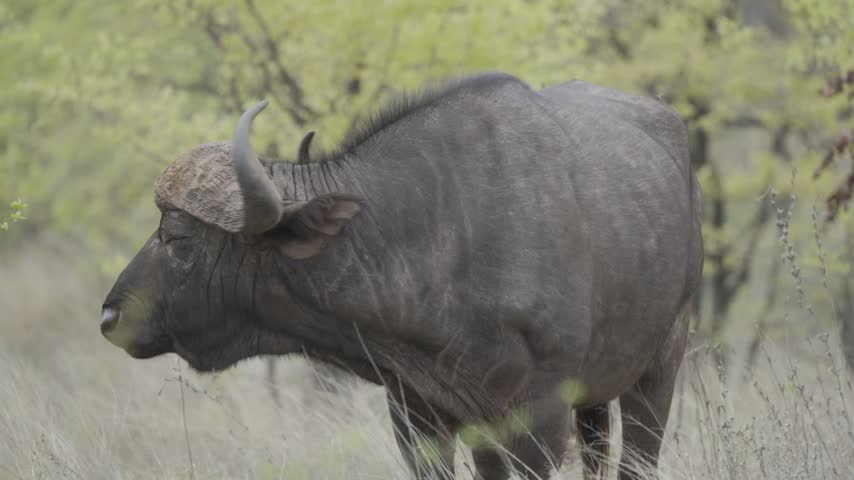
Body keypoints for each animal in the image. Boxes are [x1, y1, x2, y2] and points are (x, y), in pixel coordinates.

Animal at [101, 72, 703, 480]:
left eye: (178, 237)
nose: (109, 315)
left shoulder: (541, 420)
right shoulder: (419, 416)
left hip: (657, 372)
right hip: (589, 403)